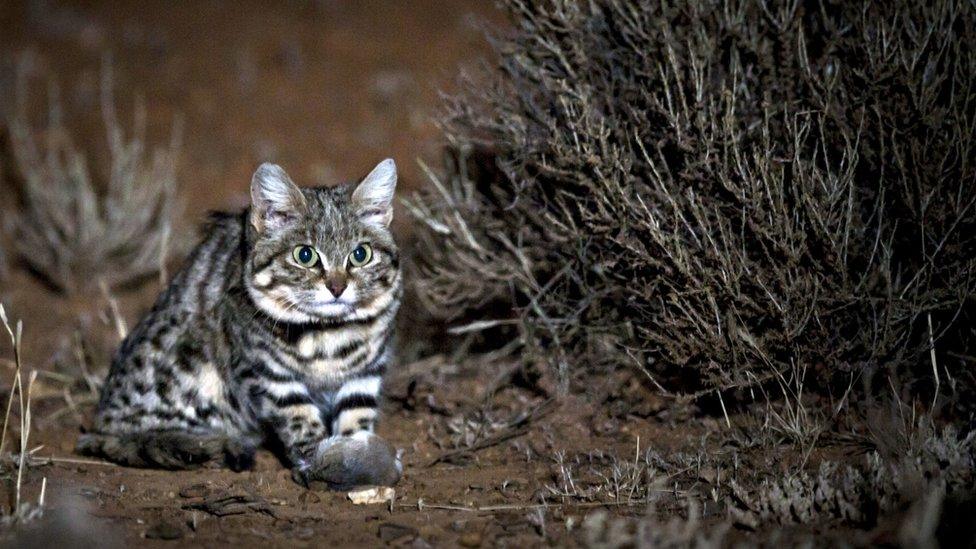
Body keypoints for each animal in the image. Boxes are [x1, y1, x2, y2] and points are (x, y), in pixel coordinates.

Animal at [75, 158, 404, 488]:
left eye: (360, 254)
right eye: (305, 255)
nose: (337, 288)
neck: (329, 332)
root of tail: (102, 426)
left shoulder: (366, 372)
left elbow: (357, 415)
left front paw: (357, 454)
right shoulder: (268, 374)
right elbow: (299, 418)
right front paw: (320, 461)